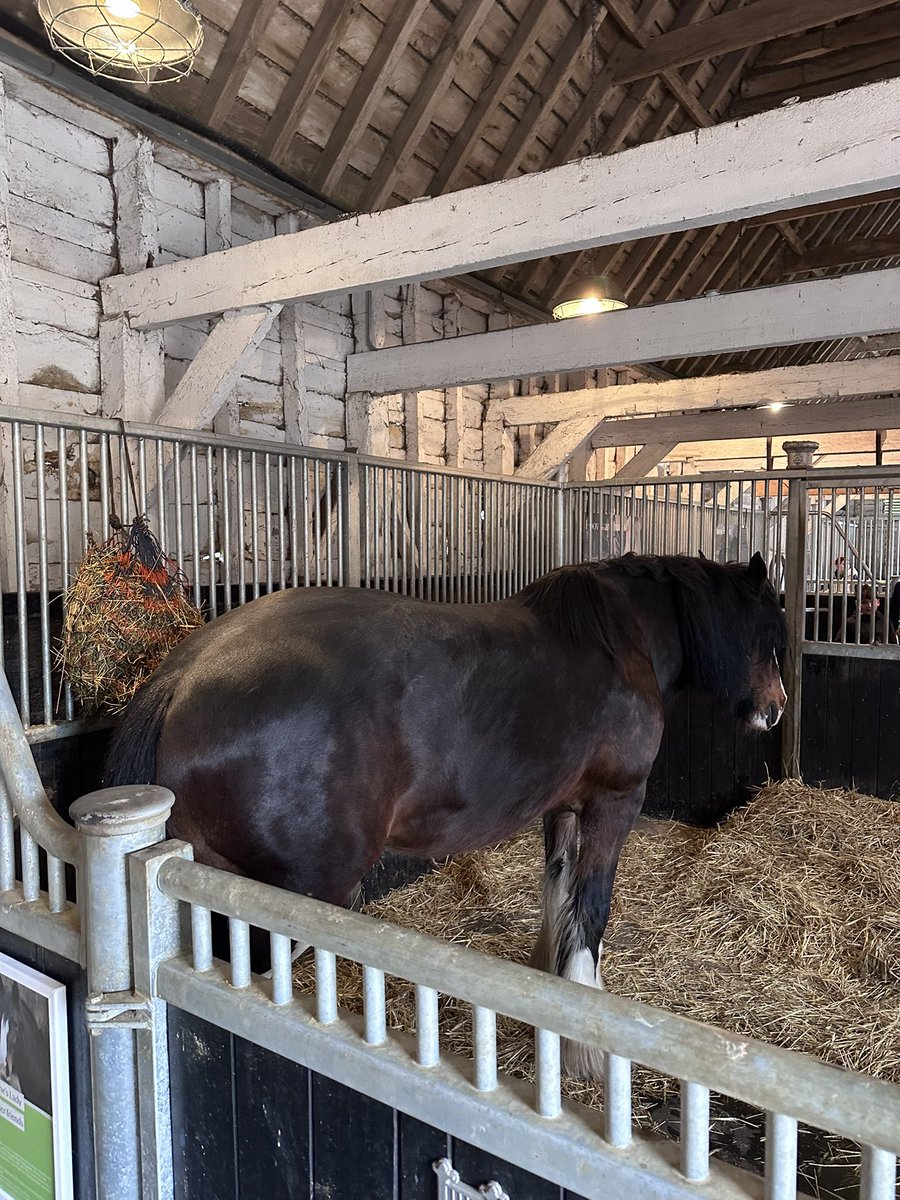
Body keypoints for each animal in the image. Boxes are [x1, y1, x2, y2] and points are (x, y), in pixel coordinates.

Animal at [105, 552, 786, 1078]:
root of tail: (183, 677)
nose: (775, 709)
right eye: (766, 631)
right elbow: (590, 906)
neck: (620, 642)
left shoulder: (561, 807)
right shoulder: (614, 802)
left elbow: (558, 890)